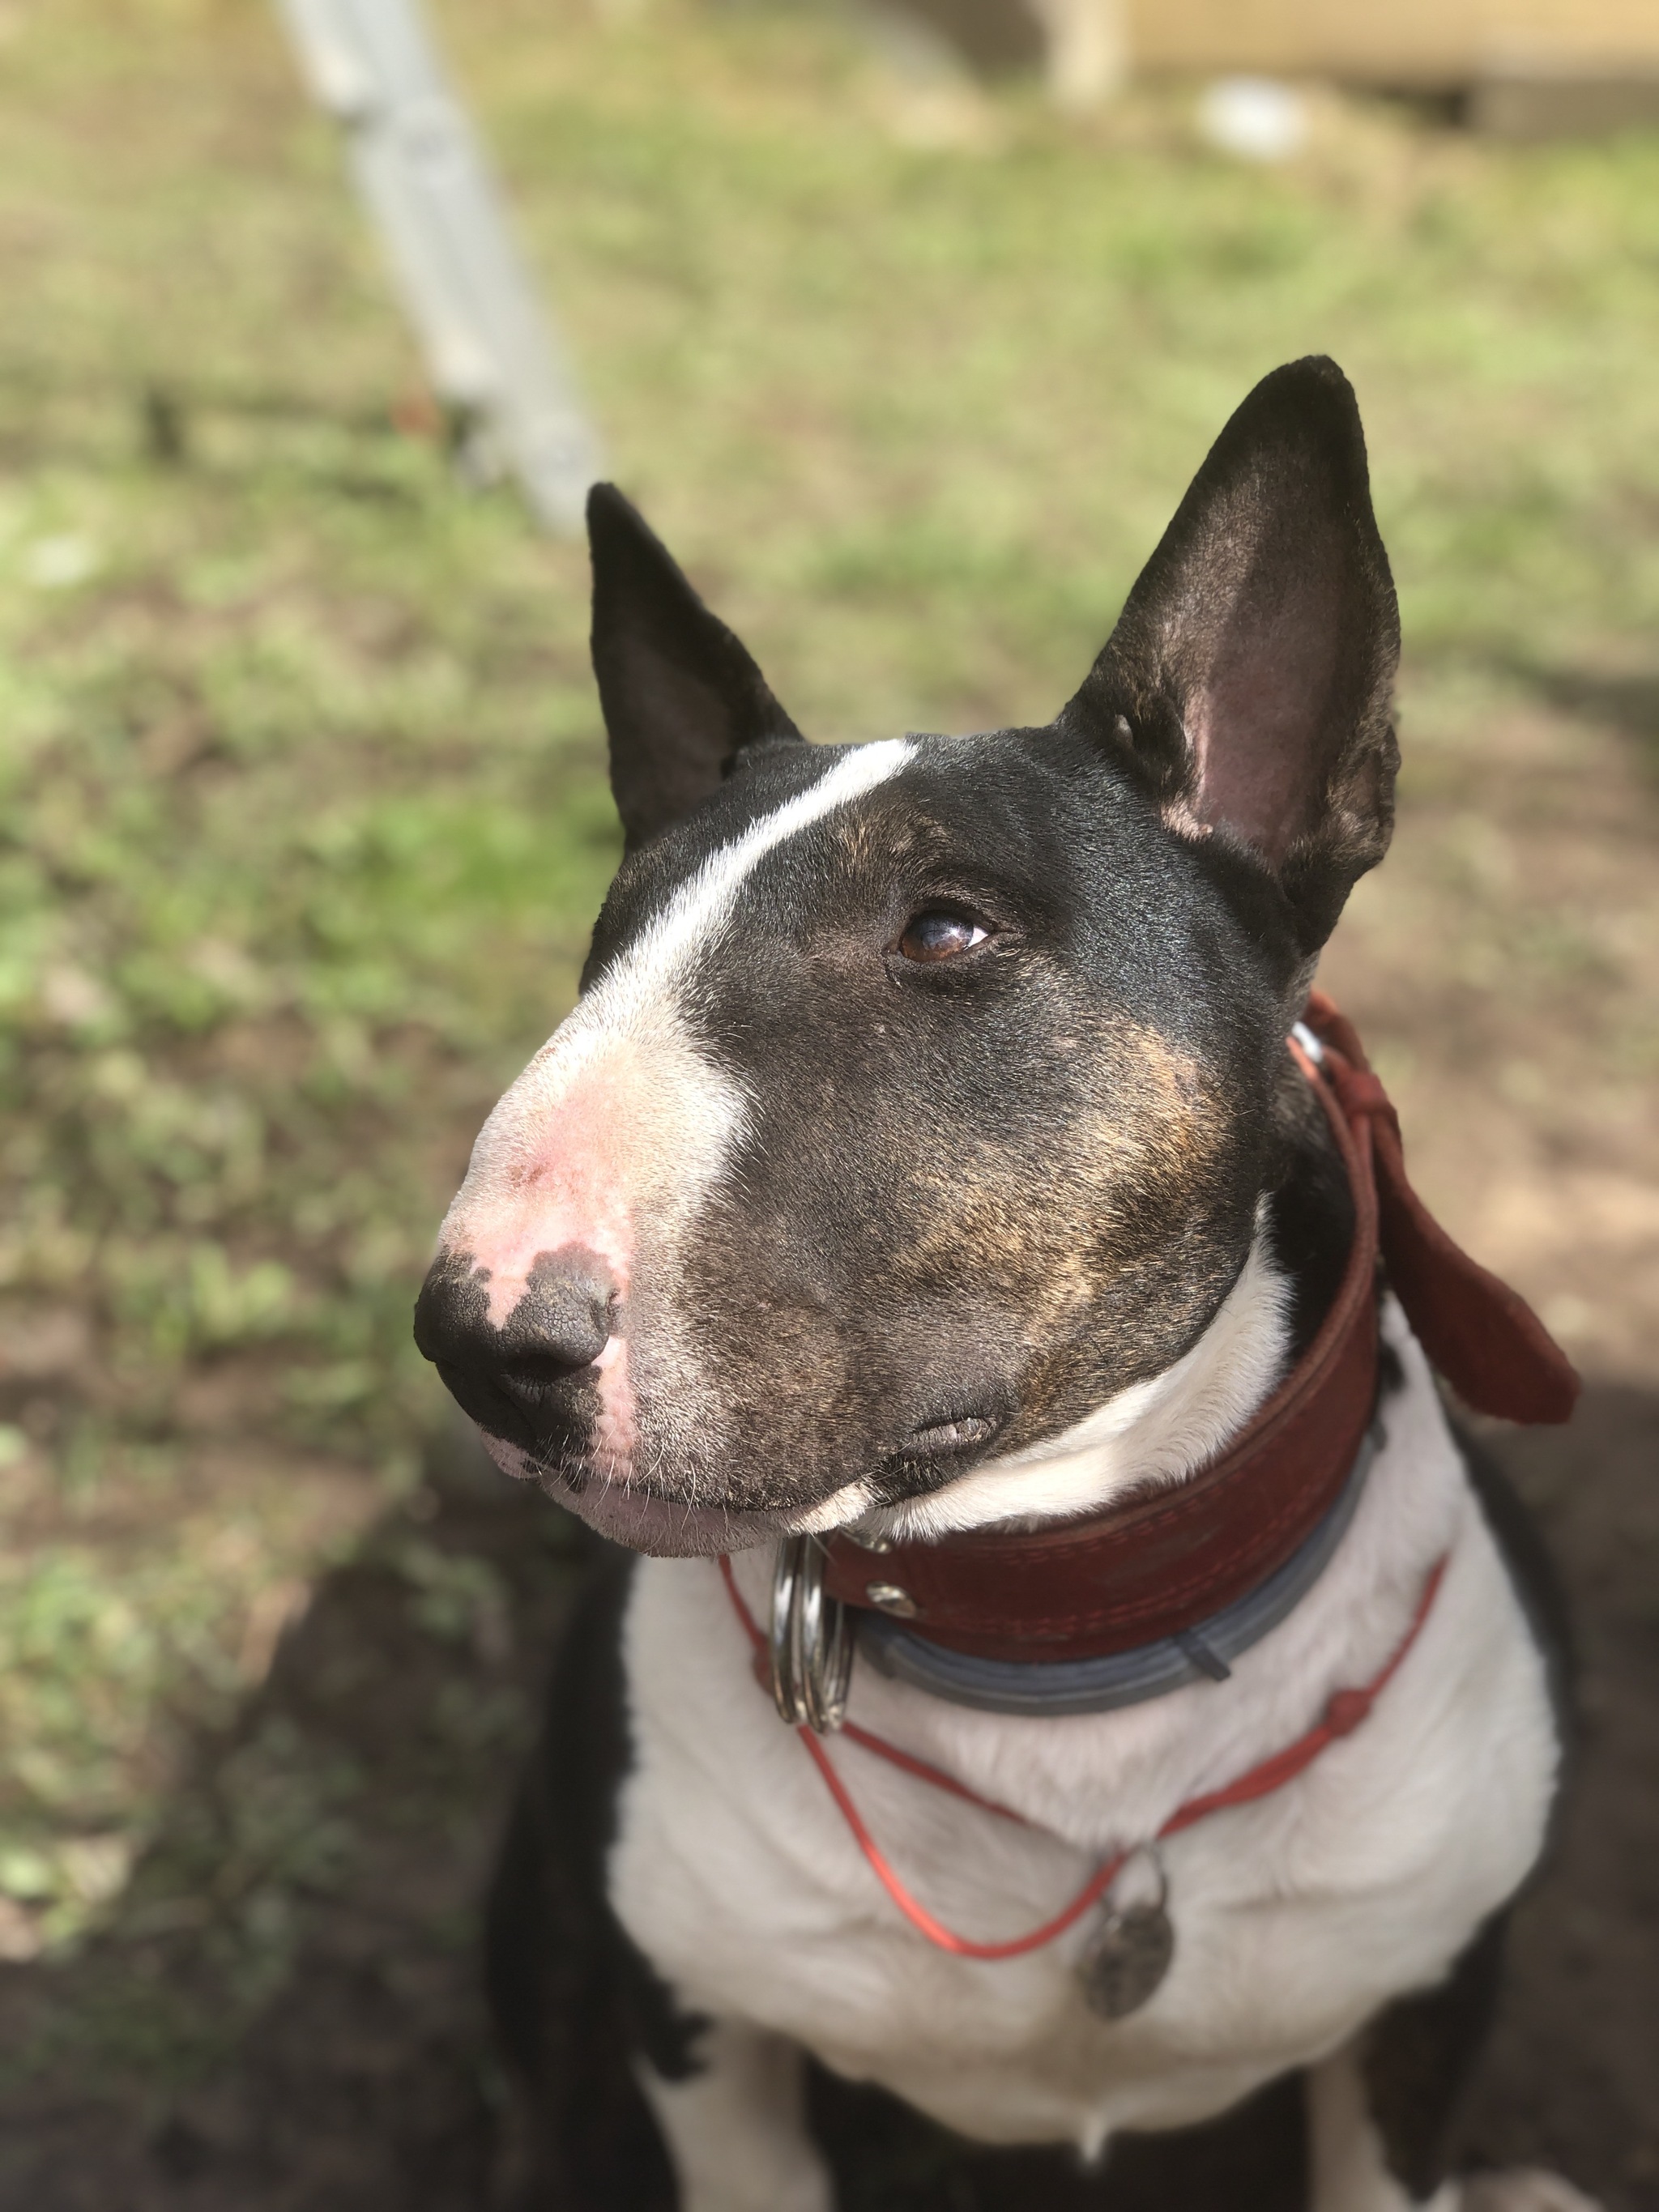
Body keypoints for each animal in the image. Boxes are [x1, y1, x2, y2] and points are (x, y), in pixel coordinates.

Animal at [413, 353, 1601, 2203]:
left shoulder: (1425, 2007)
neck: (1066, 1668)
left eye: (946, 930)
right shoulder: (697, 2020)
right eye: (607, 944)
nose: (477, 1341)